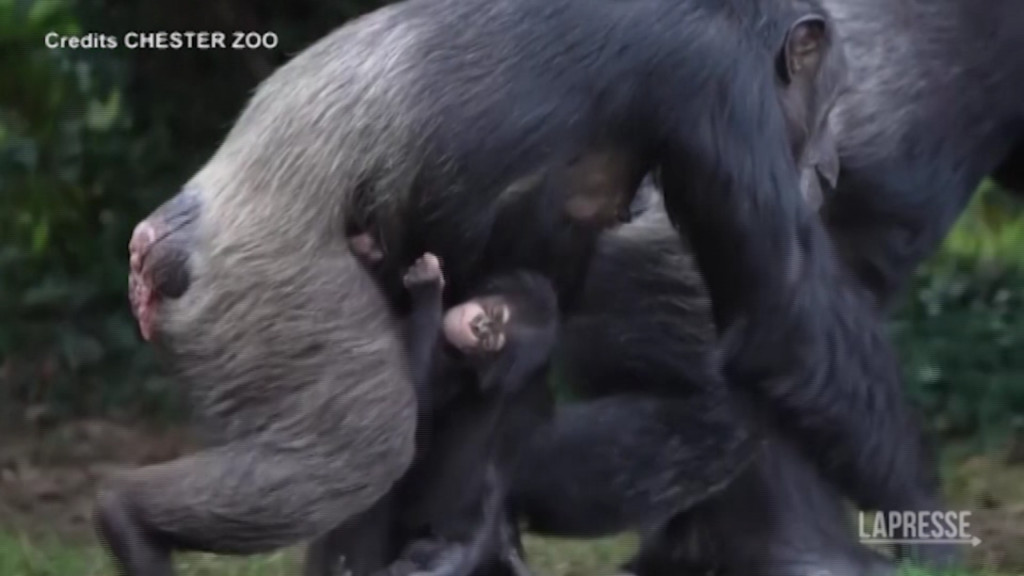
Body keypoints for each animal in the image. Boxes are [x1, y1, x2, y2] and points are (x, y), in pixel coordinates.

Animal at [97, 0, 858, 573]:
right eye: (830, 103)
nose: (831, 163)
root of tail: (156, 243)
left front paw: (474, 535)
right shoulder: (721, 88)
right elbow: (779, 310)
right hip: (270, 297)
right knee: (357, 447)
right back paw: (130, 520)